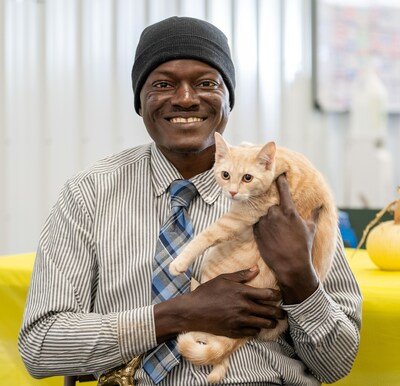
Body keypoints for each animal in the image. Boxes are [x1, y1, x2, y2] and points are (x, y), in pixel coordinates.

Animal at [169, 133, 338, 382]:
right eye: (225, 175)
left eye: (247, 178)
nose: (232, 192)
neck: (282, 162)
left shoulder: (241, 217)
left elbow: (208, 234)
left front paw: (179, 262)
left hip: (213, 259)